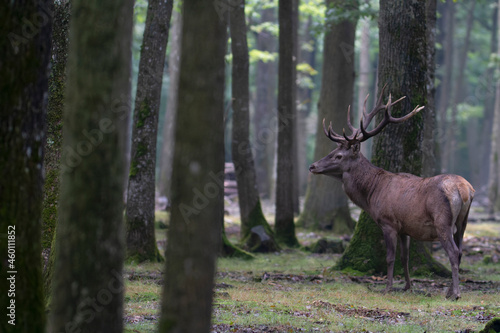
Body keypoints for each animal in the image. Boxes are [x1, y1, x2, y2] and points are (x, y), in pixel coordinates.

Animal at [308, 87, 476, 300]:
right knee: (461, 251)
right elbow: (404, 257)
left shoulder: (388, 222)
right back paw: (449, 290)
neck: (372, 193)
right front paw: (407, 286)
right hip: (463, 220)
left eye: (338, 156)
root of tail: (465, 189)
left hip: (442, 221)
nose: (312, 166)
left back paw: (455, 294)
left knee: (453, 252)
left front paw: (387, 287)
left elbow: (390, 257)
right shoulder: (405, 227)